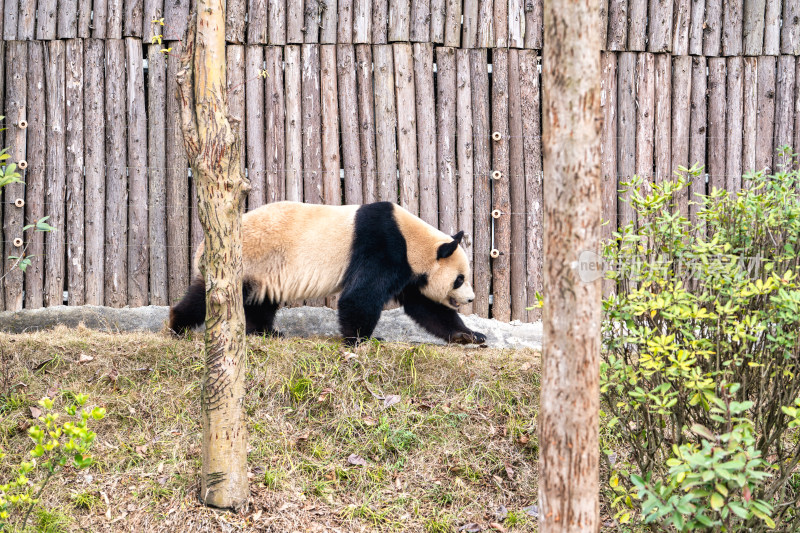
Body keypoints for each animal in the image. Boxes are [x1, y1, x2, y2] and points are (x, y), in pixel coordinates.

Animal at [169, 201, 488, 344]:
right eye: (460, 279)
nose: (471, 299)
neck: (413, 239)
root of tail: (202, 247)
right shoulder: (382, 247)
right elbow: (359, 297)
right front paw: (362, 339)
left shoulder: (409, 271)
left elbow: (427, 308)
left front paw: (470, 335)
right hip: (246, 261)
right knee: (210, 297)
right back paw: (177, 325)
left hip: (266, 271)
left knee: (262, 300)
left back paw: (268, 332)